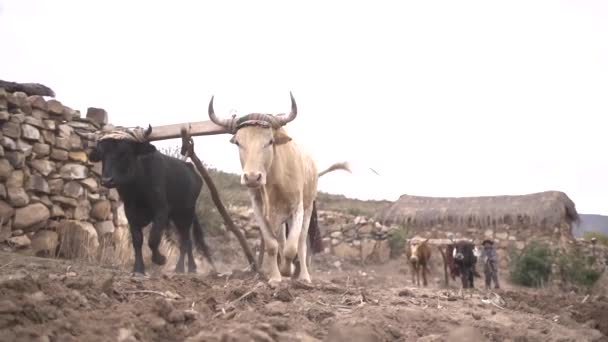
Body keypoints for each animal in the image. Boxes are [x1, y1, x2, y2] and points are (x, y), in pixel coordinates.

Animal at [88, 125, 215, 276]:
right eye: (101, 155)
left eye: (124, 153)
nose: (107, 180)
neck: (137, 190)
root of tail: (192, 170)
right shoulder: (130, 213)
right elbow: (137, 240)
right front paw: (138, 269)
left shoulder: (161, 211)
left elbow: (153, 239)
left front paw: (160, 259)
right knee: (187, 241)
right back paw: (191, 268)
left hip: (186, 214)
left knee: (185, 241)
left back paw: (180, 268)